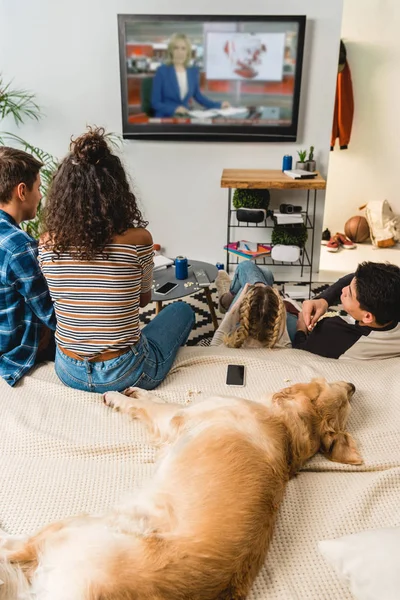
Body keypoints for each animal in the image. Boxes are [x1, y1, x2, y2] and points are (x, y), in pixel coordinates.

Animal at [0, 378, 360, 596]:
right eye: (344, 398)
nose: (354, 385)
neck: (288, 427)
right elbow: (152, 396)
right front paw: (136, 390)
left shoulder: (179, 416)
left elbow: (154, 406)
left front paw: (117, 395)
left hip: (78, 526)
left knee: (17, 547)